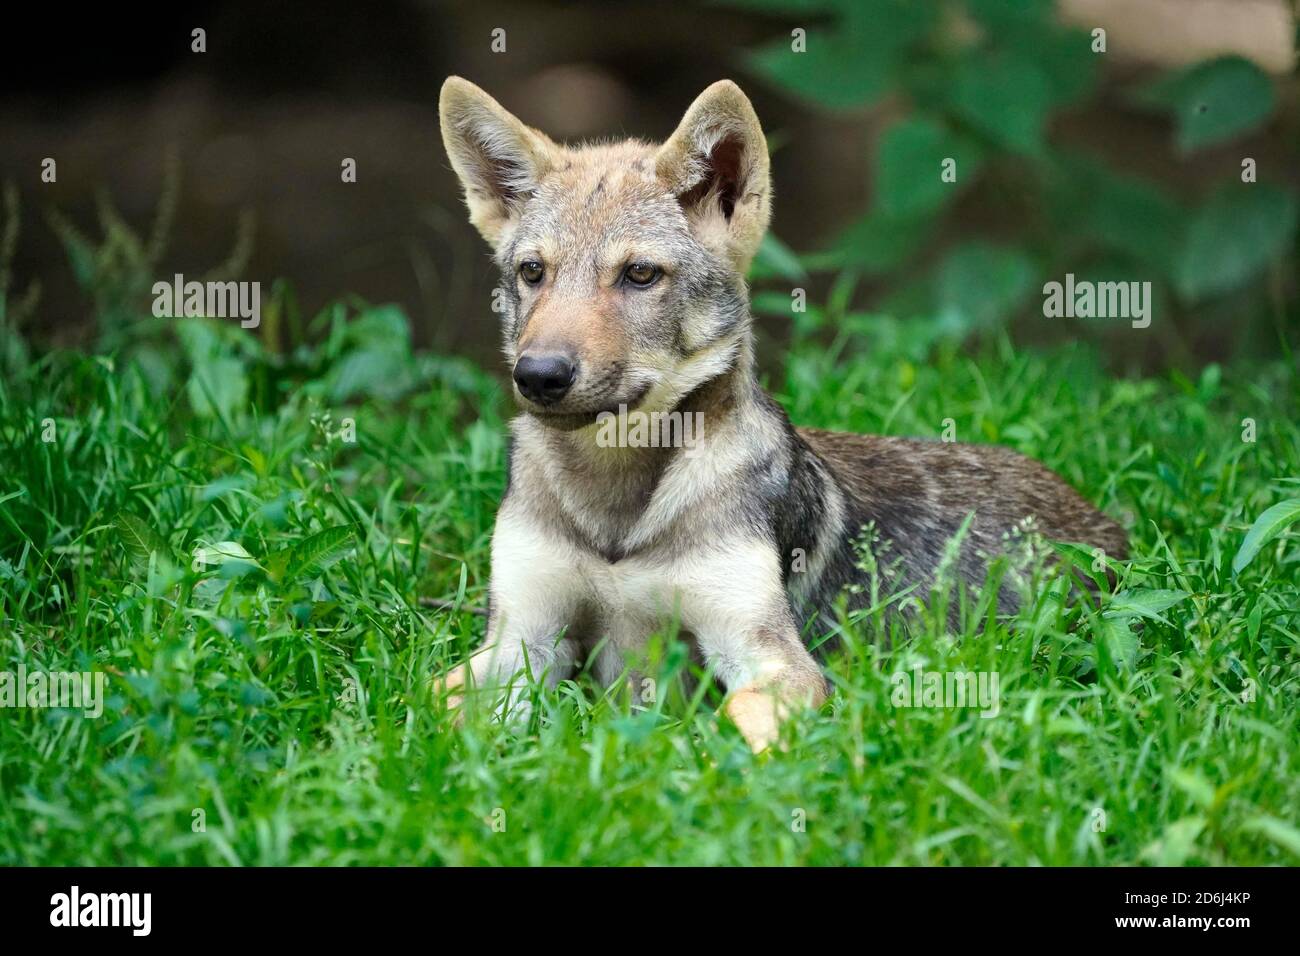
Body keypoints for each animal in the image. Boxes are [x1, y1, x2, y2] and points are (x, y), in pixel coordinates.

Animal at [436, 76, 1128, 749]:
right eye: (533, 272)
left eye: (639, 275)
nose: (539, 375)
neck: (617, 514)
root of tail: (1107, 524)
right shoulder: (522, 638)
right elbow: (432, 705)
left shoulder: (767, 652)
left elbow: (730, 724)